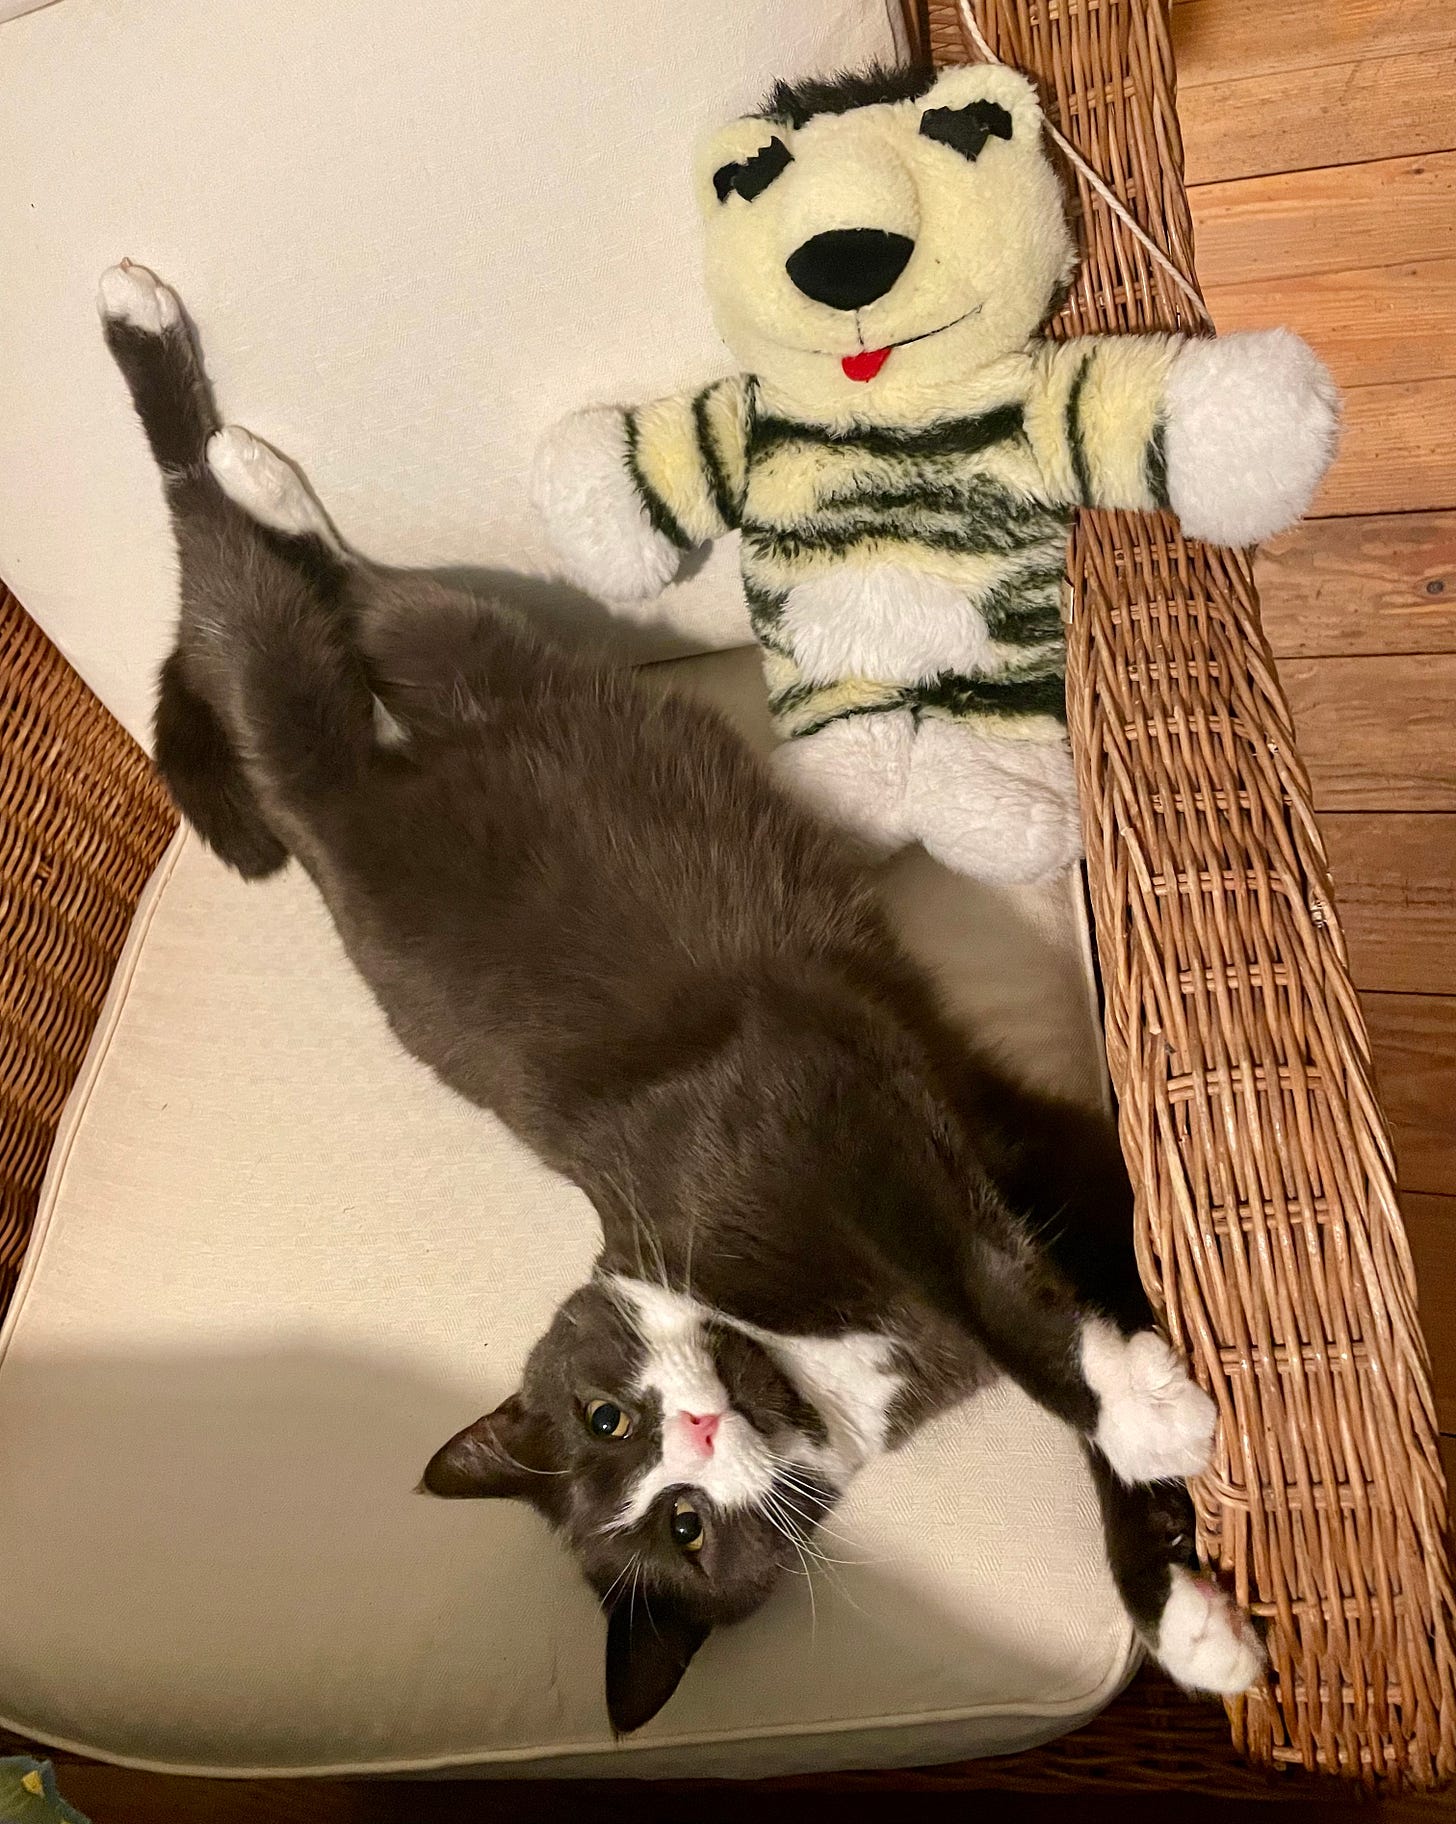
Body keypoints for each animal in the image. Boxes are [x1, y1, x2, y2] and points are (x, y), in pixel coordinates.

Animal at [102, 260, 1262, 1736]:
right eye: (683, 1525)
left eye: (611, 1424)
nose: (695, 1438)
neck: (797, 1355)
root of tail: (323, 822)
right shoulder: (1012, 1144)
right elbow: (1058, 1279)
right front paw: (1184, 1610)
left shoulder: (822, 1097)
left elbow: (996, 1285)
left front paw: (1137, 1422)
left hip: (435, 679)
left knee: (319, 607)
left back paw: (208, 416)